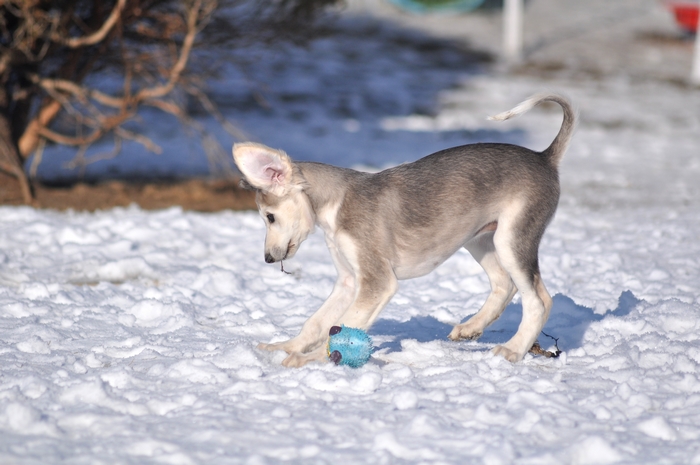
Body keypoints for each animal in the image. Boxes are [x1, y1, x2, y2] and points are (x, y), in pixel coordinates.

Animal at [235, 93, 576, 366]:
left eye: (269, 217)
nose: (267, 259)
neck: (336, 203)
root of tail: (544, 158)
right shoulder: (348, 282)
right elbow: (317, 323)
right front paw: (285, 346)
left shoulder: (377, 282)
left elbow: (341, 327)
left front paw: (307, 358)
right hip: (481, 240)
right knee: (505, 285)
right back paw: (471, 327)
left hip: (511, 239)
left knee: (539, 300)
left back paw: (513, 349)